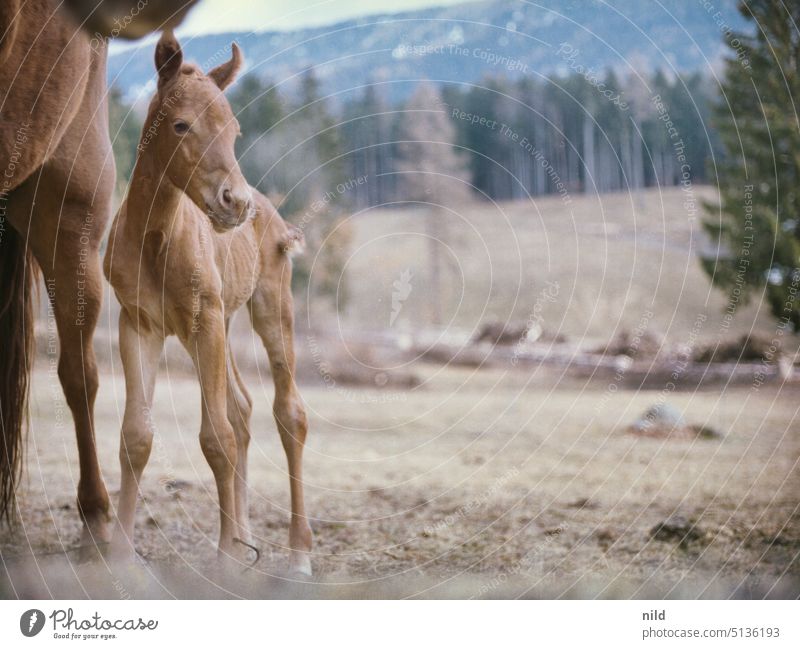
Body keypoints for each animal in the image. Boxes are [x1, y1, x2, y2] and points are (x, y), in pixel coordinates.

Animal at [103, 31, 310, 572]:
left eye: (235, 129)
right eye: (181, 125)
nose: (235, 204)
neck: (157, 239)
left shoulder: (206, 320)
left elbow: (216, 439)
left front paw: (222, 560)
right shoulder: (139, 325)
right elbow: (137, 435)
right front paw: (120, 555)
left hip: (267, 307)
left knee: (288, 413)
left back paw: (299, 554)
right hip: (217, 326)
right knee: (242, 407)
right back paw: (246, 538)